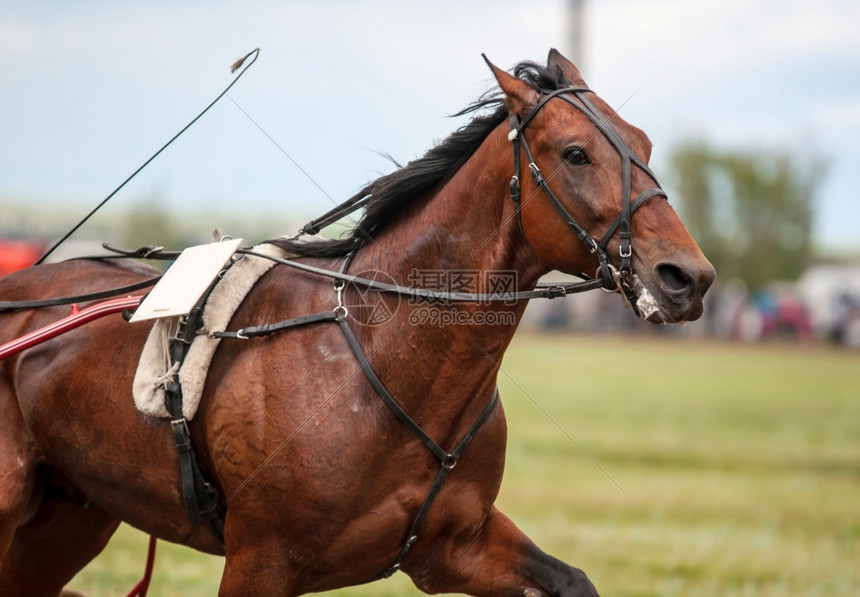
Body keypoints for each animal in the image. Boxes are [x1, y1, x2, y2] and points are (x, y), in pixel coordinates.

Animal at [0, 51, 712, 596]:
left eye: (644, 145)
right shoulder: (261, 561)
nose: (689, 277)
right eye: (575, 154)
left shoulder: (452, 547)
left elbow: (570, 580)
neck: (383, 358)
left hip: (69, 516)